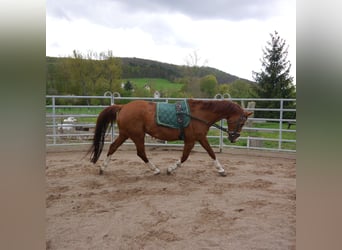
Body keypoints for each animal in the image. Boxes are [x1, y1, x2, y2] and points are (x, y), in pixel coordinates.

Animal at [89, 99, 254, 176]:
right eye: (242, 122)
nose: (234, 138)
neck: (199, 114)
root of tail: (123, 106)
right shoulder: (191, 140)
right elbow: (185, 157)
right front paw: (170, 168)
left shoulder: (200, 138)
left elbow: (211, 153)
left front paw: (221, 169)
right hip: (137, 135)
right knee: (141, 153)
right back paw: (155, 169)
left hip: (125, 134)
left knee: (112, 147)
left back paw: (103, 168)